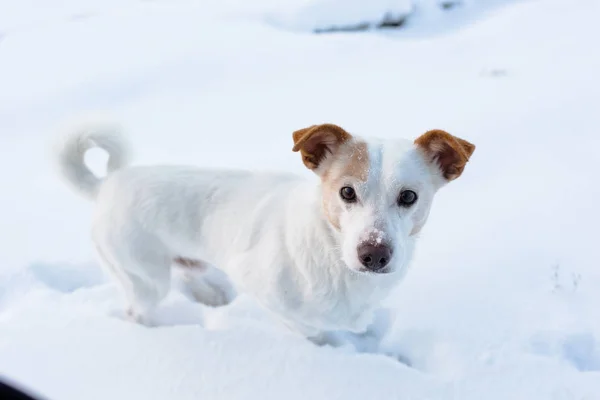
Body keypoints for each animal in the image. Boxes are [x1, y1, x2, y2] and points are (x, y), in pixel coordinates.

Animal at [57, 121, 474, 350]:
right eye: (346, 192)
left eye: (409, 197)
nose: (373, 254)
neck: (333, 254)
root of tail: (108, 183)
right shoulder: (268, 294)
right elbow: (311, 331)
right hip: (144, 278)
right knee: (137, 310)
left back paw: (211, 295)